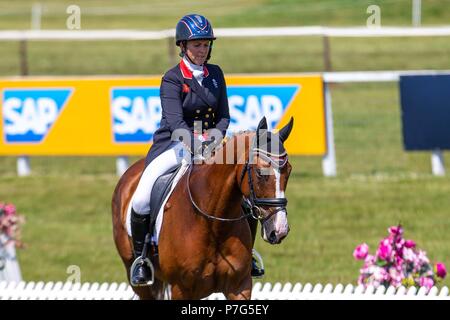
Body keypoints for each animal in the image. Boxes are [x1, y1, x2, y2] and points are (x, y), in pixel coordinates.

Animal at [112, 117, 294, 300]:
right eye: (259, 172)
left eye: (289, 171)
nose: (279, 229)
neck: (212, 222)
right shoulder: (180, 289)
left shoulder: (240, 286)